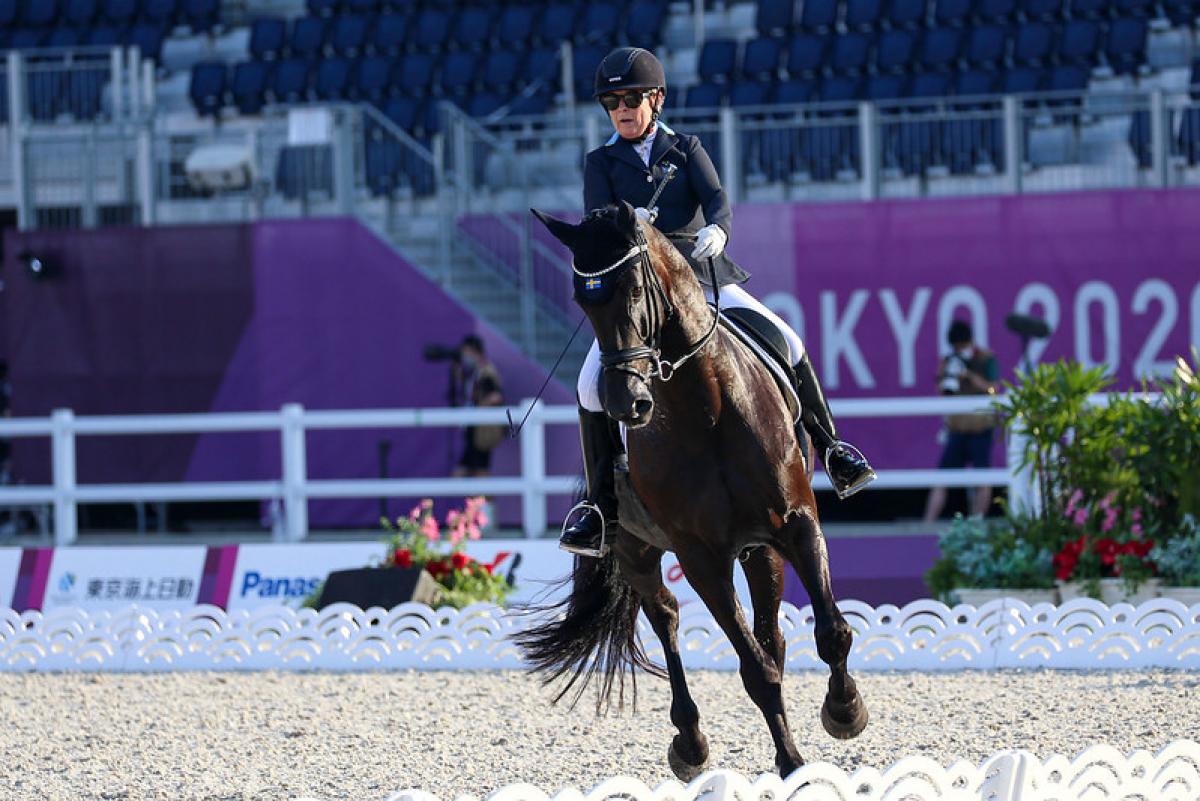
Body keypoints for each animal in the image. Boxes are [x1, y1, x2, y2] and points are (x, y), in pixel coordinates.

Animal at [516, 201, 864, 781]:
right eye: (581, 299)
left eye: (636, 287)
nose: (625, 404)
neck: (707, 407)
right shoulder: (700, 557)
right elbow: (753, 670)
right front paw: (793, 762)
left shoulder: (797, 523)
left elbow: (830, 632)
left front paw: (844, 711)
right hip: (635, 548)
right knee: (666, 616)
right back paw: (690, 742)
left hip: (759, 546)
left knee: (771, 633)